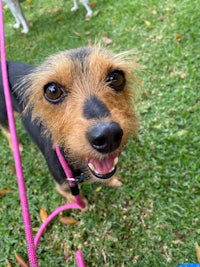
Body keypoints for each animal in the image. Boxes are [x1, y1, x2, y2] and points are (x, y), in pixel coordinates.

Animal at [0, 47, 138, 208]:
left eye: (116, 78)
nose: (107, 135)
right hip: (5, 114)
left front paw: (113, 181)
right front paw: (84, 207)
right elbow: (78, 200)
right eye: (52, 91)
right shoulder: (63, 187)